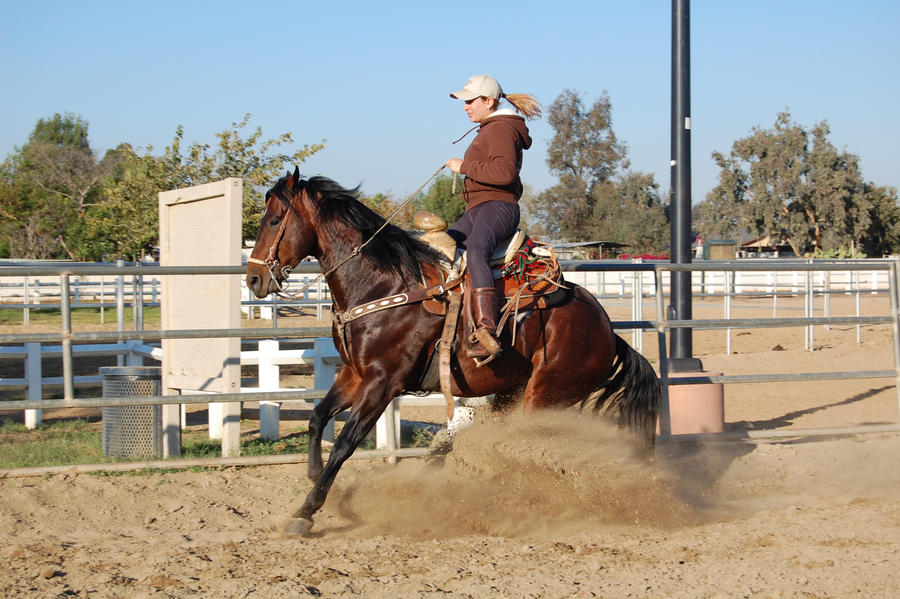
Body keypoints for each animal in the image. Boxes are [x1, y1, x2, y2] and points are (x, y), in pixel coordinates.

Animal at [246, 166, 660, 536]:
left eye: (274, 220)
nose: (254, 278)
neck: (384, 284)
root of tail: (608, 331)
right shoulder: (355, 375)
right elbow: (318, 417)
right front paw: (313, 473)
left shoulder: (382, 383)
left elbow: (346, 443)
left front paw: (306, 511)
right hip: (513, 392)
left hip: (545, 394)